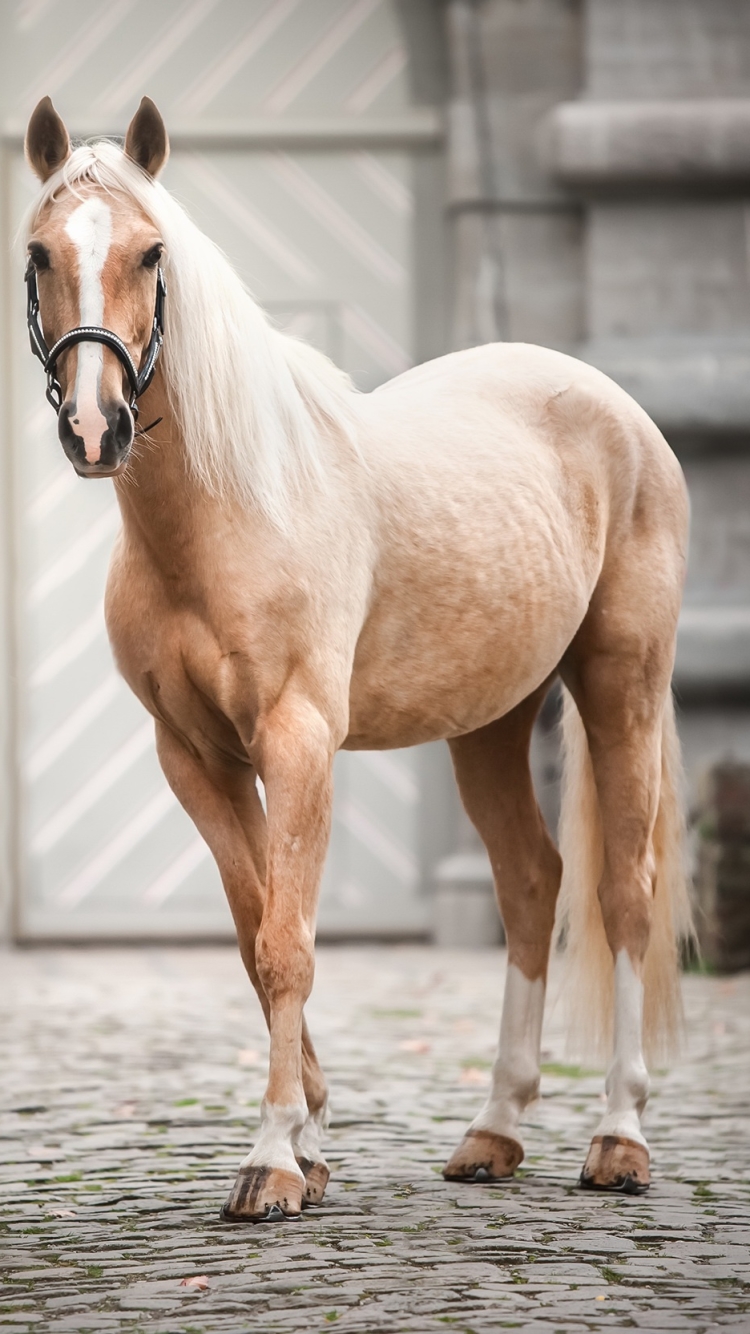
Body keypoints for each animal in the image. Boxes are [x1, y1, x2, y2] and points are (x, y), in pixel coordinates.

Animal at [23, 94, 688, 1221]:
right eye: (37, 254)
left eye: (153, 252)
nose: (94, 426)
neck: (230, 512)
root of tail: (617, 405)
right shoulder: (194, 756)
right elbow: (254, 934)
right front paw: (313, 1134)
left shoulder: (297, 743)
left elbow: (288, 943)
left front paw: (274, 1159)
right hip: (490, 724)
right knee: (531, 883)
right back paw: (494, 1130)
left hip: (621, 686)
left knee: (623, 892)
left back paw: (619, 1136)